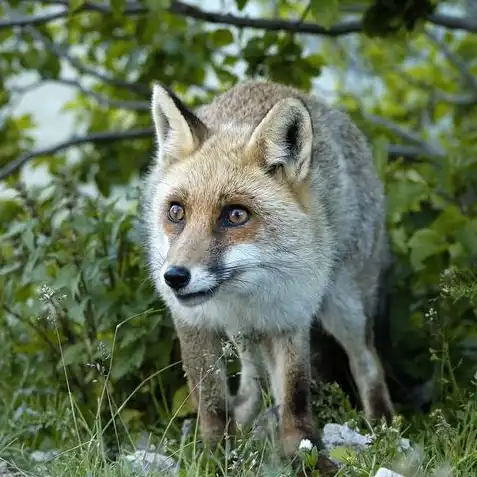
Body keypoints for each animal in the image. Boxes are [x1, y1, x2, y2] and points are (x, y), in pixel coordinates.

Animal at [140, 78, 394, 464]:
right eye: (176, 212)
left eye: (236, 215)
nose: (175, 277)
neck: (243, 294)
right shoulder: (194, 323)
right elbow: (212, 403)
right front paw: (216, 457)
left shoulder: (290, 316)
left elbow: (295, 397)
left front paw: (307, 455)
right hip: (244, 333)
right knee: (251, 380)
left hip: (346, 307)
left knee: (367, 364)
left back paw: (384, 427)